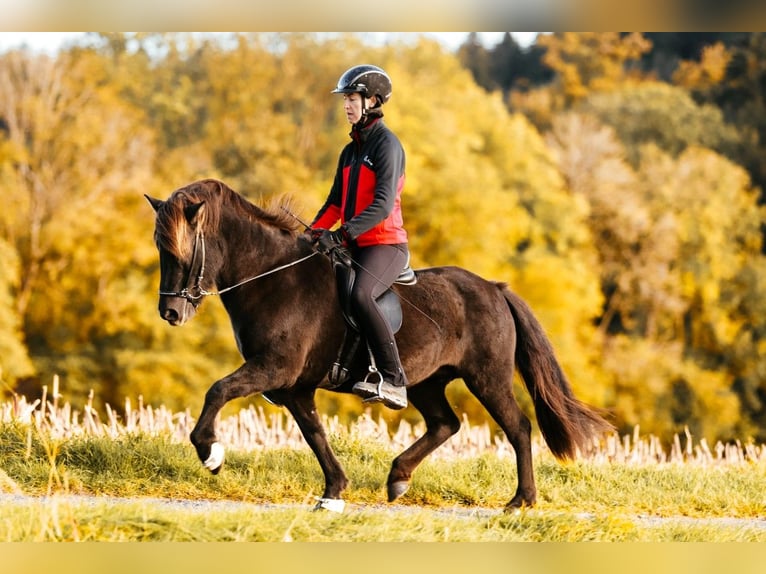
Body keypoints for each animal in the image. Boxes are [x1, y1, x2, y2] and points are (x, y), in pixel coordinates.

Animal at [142, 179, 612, 512]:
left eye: (182, 251)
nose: (170, 313)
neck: (273, 278)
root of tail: (495, 289)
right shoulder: (294, 386)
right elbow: (315, 434)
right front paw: (334, 492)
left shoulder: (275, 368)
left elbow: (218, 390)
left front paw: (211, 453)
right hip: (426, 381)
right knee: (445, 424)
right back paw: (399, 477)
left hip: (488, 379)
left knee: (518, 427)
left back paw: (521, 501)